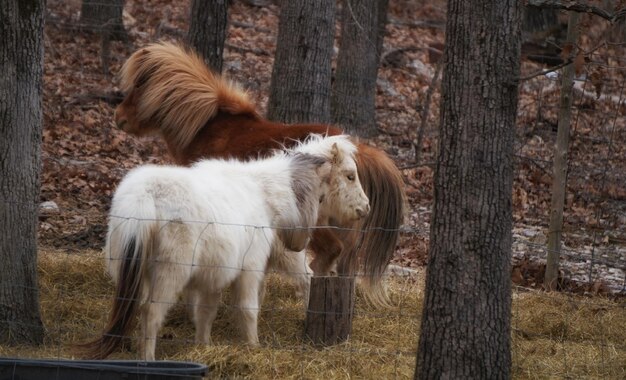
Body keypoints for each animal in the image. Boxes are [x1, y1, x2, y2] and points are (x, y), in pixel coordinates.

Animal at [80, 135, 368, 360]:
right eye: (350, 176)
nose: (365, 208)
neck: (265, 194)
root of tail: (145, 198)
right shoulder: (250, 268)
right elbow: (249, 309)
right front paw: (253, 347)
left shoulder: (214, 277)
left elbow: (206, 314)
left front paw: (203, 347)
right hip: (170, 275)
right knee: (150, 313)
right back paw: (147, 359)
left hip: (134, 273)